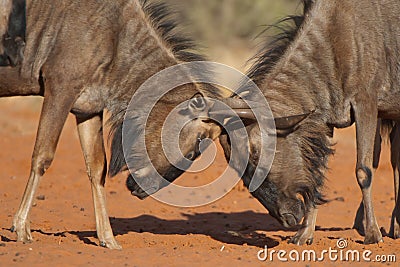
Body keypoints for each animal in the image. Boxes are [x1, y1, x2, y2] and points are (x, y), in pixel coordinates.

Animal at [0, 0, 247, 249]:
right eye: (197, 145)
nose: (141, 190)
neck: (117, 36)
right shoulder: (60, 89)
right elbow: (42, 157)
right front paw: (21, 228)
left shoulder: (87, 109)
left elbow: (97, 167)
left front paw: (108, 239)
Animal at [219, 0, 400, 246]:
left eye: (257, 161)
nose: (288, 219)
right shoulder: (326, 120)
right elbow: (318, 176)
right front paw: (305, 234)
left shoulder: (367, 104)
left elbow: (364, 170)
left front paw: (372, 233)